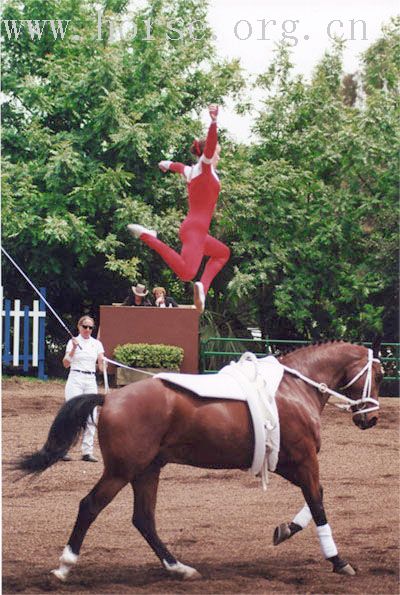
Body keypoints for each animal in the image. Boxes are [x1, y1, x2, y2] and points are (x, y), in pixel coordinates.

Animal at [18, 340, 382, 584]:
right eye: (378, 374)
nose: (371, 418)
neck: (295, 387)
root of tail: (110, 398)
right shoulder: (303, 460)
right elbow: (318, 503)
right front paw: (338, 560)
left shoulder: (288, 463)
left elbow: (317, 497)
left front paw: (285, 530)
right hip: (122, 471)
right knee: (90, 506)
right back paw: (64, 566)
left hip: (147, 470)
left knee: (143, 519)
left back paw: (179, 568)